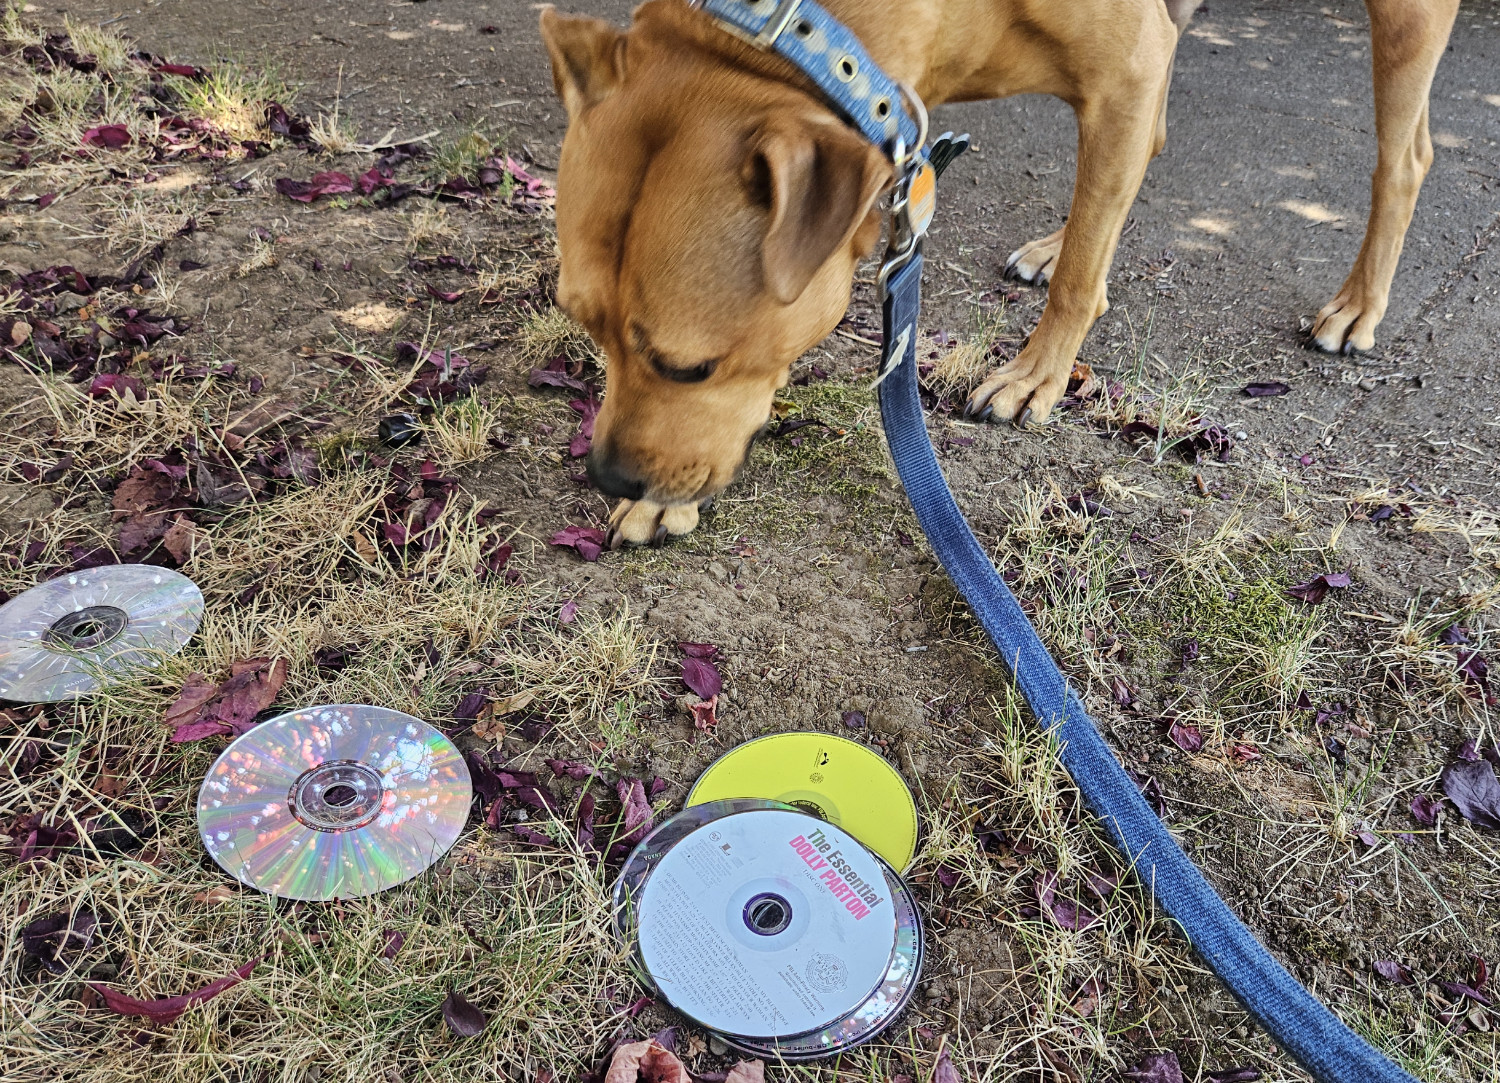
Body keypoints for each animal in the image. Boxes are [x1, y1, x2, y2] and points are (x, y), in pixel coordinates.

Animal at [543, 0, 1464, 543]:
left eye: (689, 365)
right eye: (586, 329)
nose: (605, 476)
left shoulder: (1128, 67)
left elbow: (1085, 274)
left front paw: (1036, 378)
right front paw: (662, 499)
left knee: (1406, 158)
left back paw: (1359, 305)